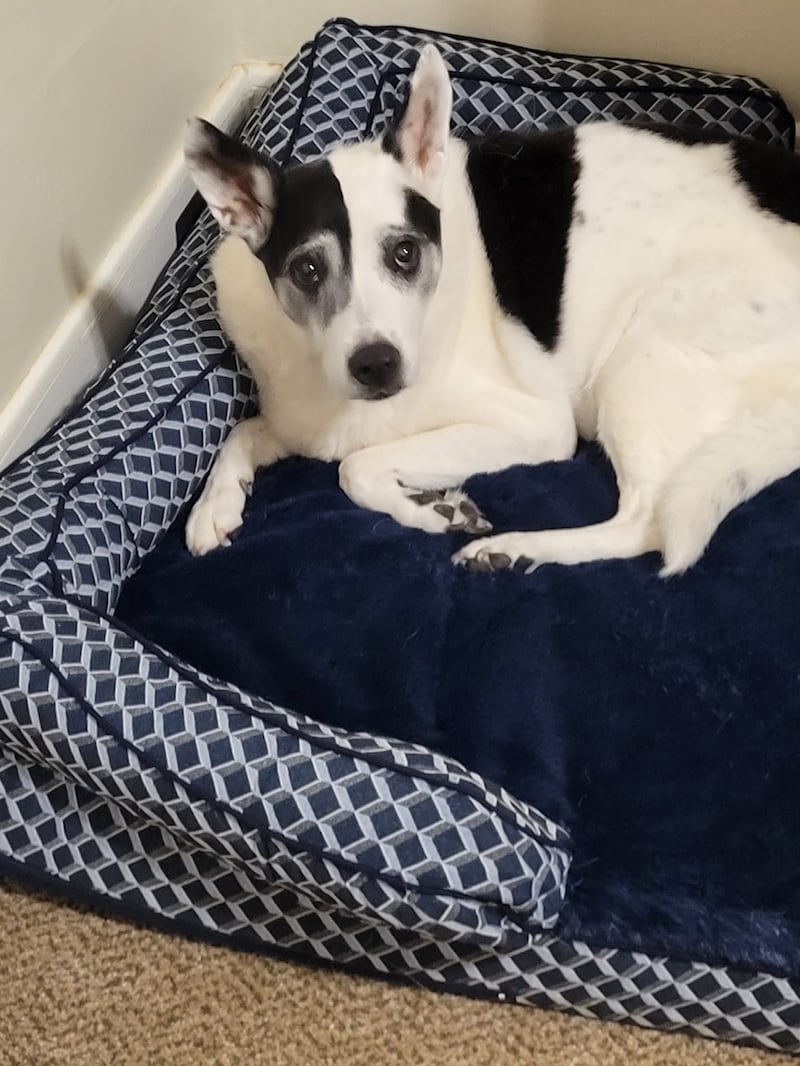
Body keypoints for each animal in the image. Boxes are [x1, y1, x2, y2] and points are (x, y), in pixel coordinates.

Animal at [181, 43, 800, 575]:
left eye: (404, 253)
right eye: (307, 270)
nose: (376, 365)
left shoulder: (535, 425)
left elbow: (354, 470)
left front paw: (427, 509)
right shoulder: (298, 417)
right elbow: (248, 432)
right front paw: (215, 503)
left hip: (643, 359)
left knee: (644, 520)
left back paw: (518, 547)